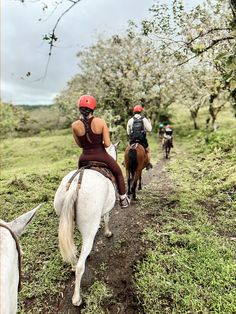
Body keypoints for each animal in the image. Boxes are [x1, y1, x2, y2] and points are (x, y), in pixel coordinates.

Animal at [54, 144, 119, 306]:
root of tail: (73, 187)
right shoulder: (107, 208)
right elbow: (106, 218)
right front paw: (107, 233)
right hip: (89, 231)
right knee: (80, 267)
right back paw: (77, 298)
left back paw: (72, 264)